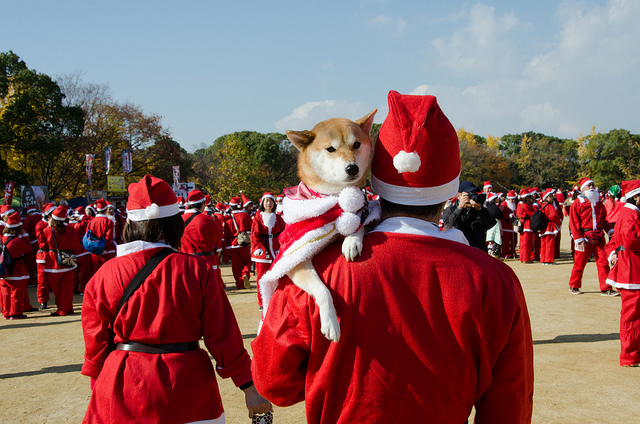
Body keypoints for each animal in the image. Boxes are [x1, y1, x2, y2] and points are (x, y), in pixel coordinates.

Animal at [258, 109, 380, 342]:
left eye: (356, 144)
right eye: (330, 149)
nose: (352, 168)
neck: (335, 199)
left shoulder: (366, 213)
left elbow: (358, 224)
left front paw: (351, 241)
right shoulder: (296, 258)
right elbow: (322, 290)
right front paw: (331, 322)